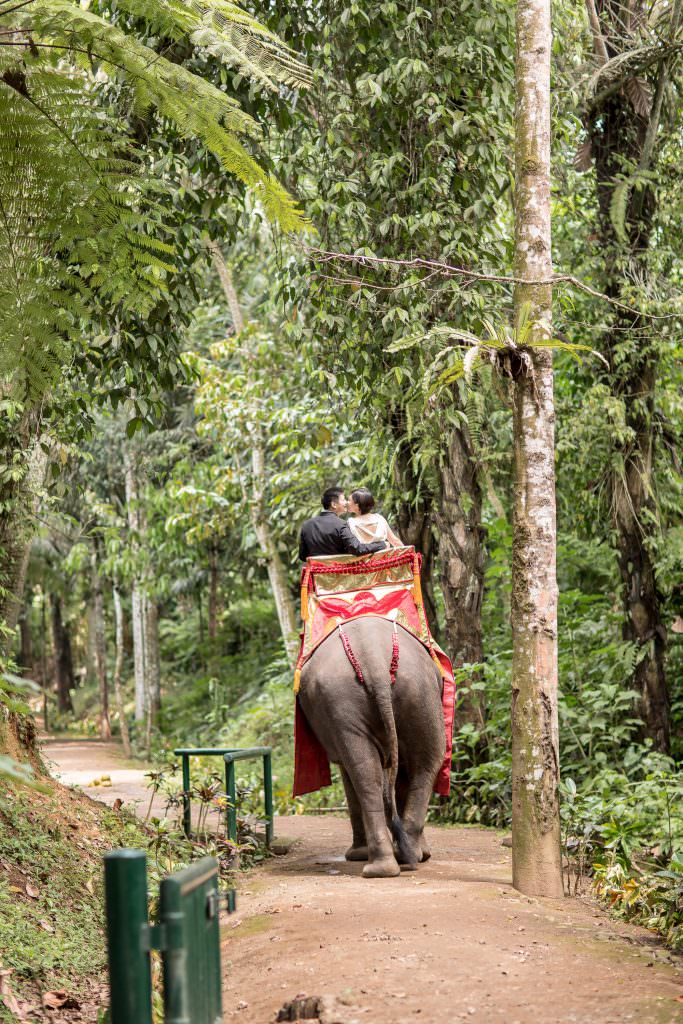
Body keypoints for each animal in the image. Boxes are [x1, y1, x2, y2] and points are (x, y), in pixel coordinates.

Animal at [296, 610, 446, 876]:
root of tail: (373, 657)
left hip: (406, 691)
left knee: (376, 772)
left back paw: (389, 861)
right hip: (409, 692)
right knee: (420, 763)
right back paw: (398, 860)